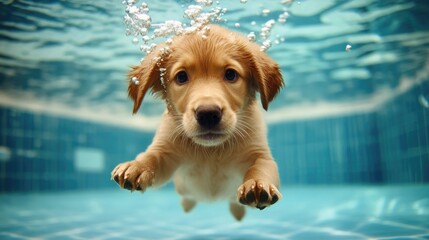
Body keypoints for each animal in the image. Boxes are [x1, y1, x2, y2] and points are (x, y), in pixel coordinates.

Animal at [112, 24, 282, 221]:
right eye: (181, 77)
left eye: (230, 74)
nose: (208, 114)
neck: (210, 151)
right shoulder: (166, 152)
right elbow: (152, 157)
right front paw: (137, 166)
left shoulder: (259, 153)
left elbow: (261, 167)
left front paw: (257, 184)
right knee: (189, 197)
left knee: (233, 201)